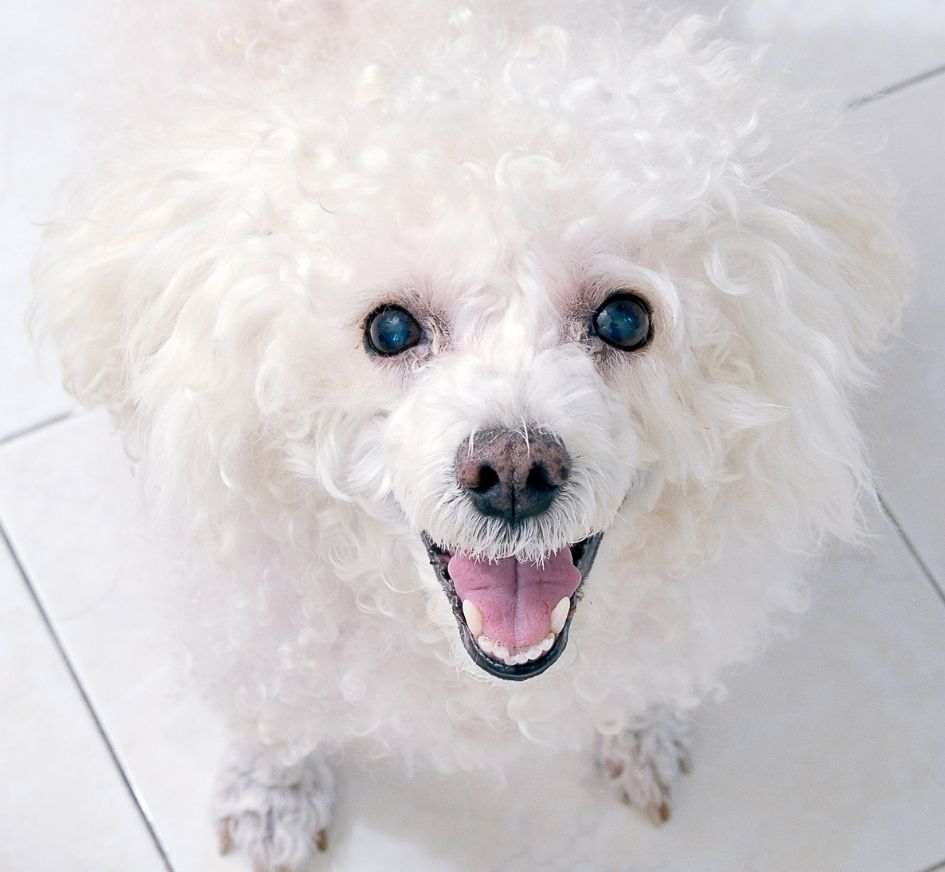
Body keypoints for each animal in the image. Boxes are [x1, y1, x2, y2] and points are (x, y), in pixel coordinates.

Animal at [35, 3, 908, 868]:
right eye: (389, 330)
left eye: (625, 320)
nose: (515, 470)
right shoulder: (254, 609)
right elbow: (275, 708)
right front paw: (271, 794)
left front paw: (639, 727)